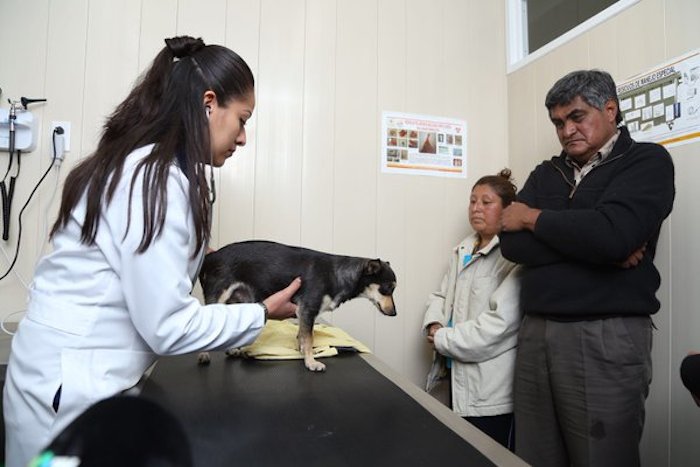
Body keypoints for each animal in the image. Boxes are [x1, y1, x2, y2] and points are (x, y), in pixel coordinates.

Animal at [197, 243, 396, 372]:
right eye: (387, 289)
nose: (395, 313)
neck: (337, 274)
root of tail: (210, 257)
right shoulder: (308, 310)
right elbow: (309, 338)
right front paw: (311, 362)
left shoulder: (305, 315)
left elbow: (303, 336)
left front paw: (304, 354)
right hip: (218, 296)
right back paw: (204, 354)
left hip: (239, 301)